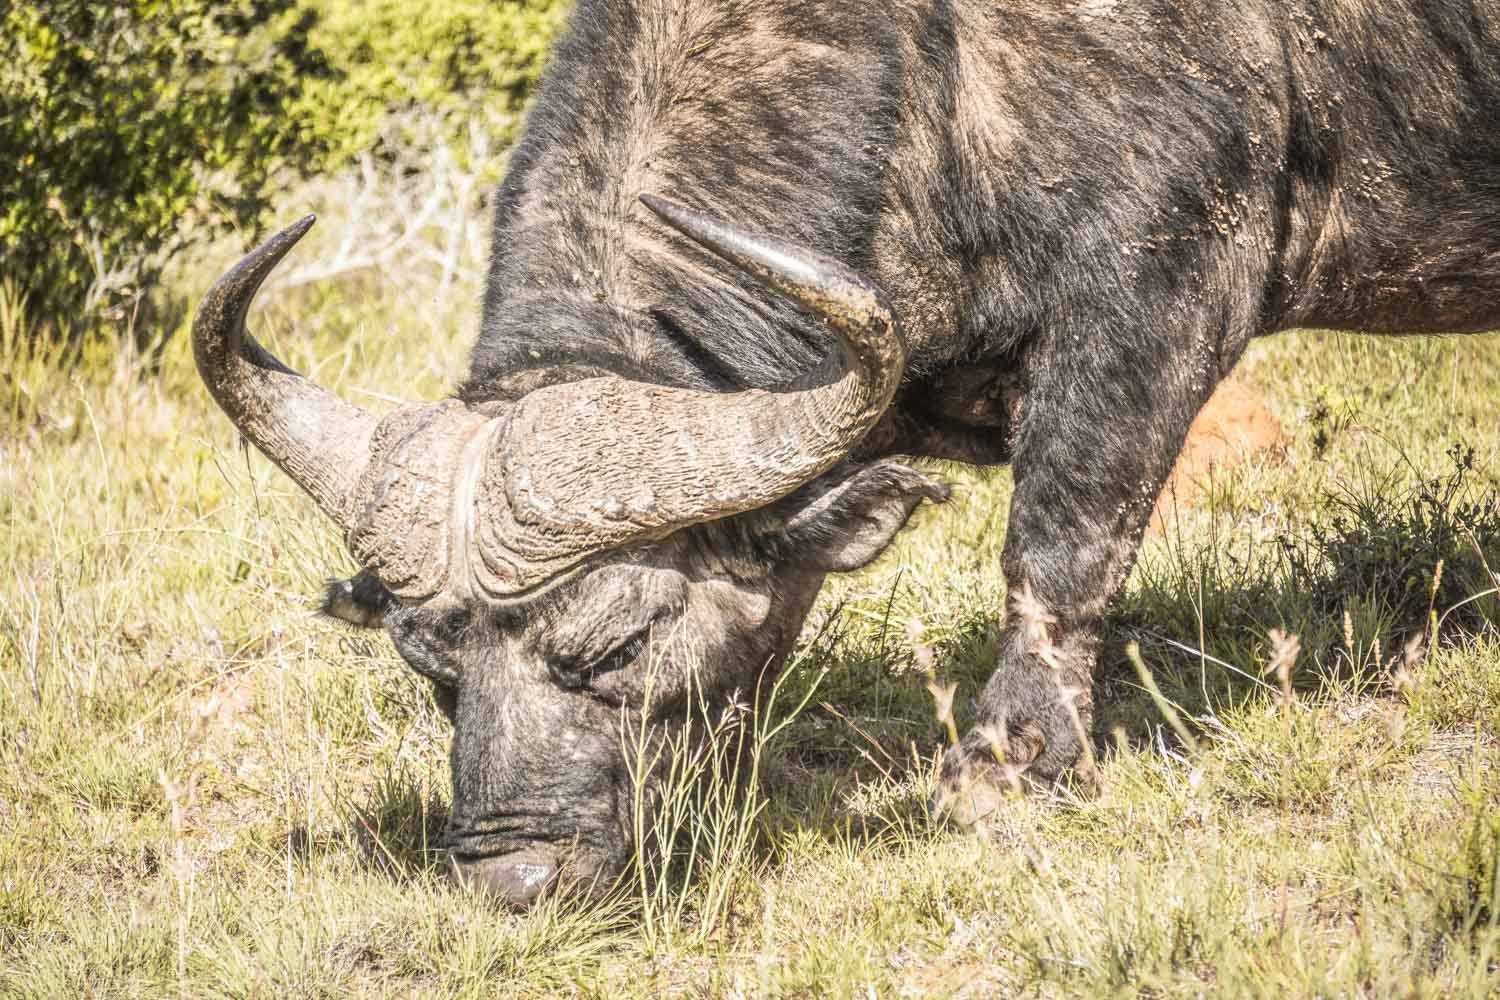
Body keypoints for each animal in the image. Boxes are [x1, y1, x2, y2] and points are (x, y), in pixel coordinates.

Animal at [193, 0, 1500, 905]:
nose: (514, 880)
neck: (941, 72)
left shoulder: (1158, 299)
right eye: (429, 667)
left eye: (616, 644)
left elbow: (1063, 540)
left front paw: (1009, 767)